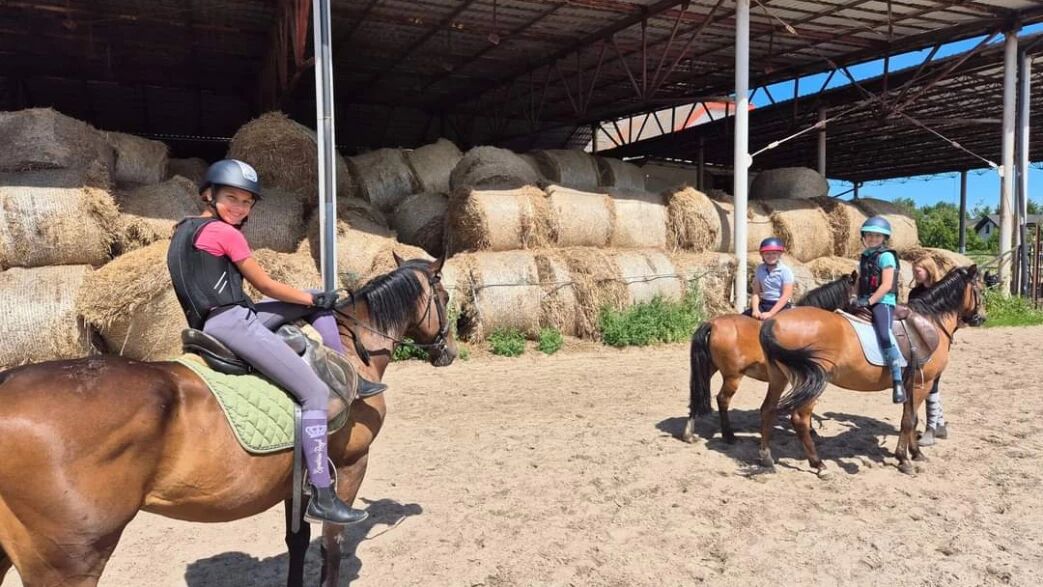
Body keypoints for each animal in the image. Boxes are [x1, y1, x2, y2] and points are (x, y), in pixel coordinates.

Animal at [0, 254, 456, 587]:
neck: (349, 351)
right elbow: (332, 544)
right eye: (447, 297)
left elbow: (298, 540)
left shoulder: (298, 479)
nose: (448, 351)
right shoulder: (349, 467)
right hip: (70, 562)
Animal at [682, 272, 858, 444]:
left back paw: (689, 435)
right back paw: (728, 435)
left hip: (709, 368)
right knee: (722, 399)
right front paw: (811, 430)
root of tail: (713, 323)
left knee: (696, 393)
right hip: (733, 376)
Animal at [757, 265, 985, 477]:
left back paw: (767, 458)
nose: (980, 318)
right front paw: (904, 459)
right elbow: (909, 420)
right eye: (981, 289)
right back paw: (819, 464)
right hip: (814, 382)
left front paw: (915, 452)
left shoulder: (912, 383)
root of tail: (773, 322)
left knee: (767, 410)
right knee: (799, 419)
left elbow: (911, 418)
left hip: (779, 377)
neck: (931, 321)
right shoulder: (923, 383)